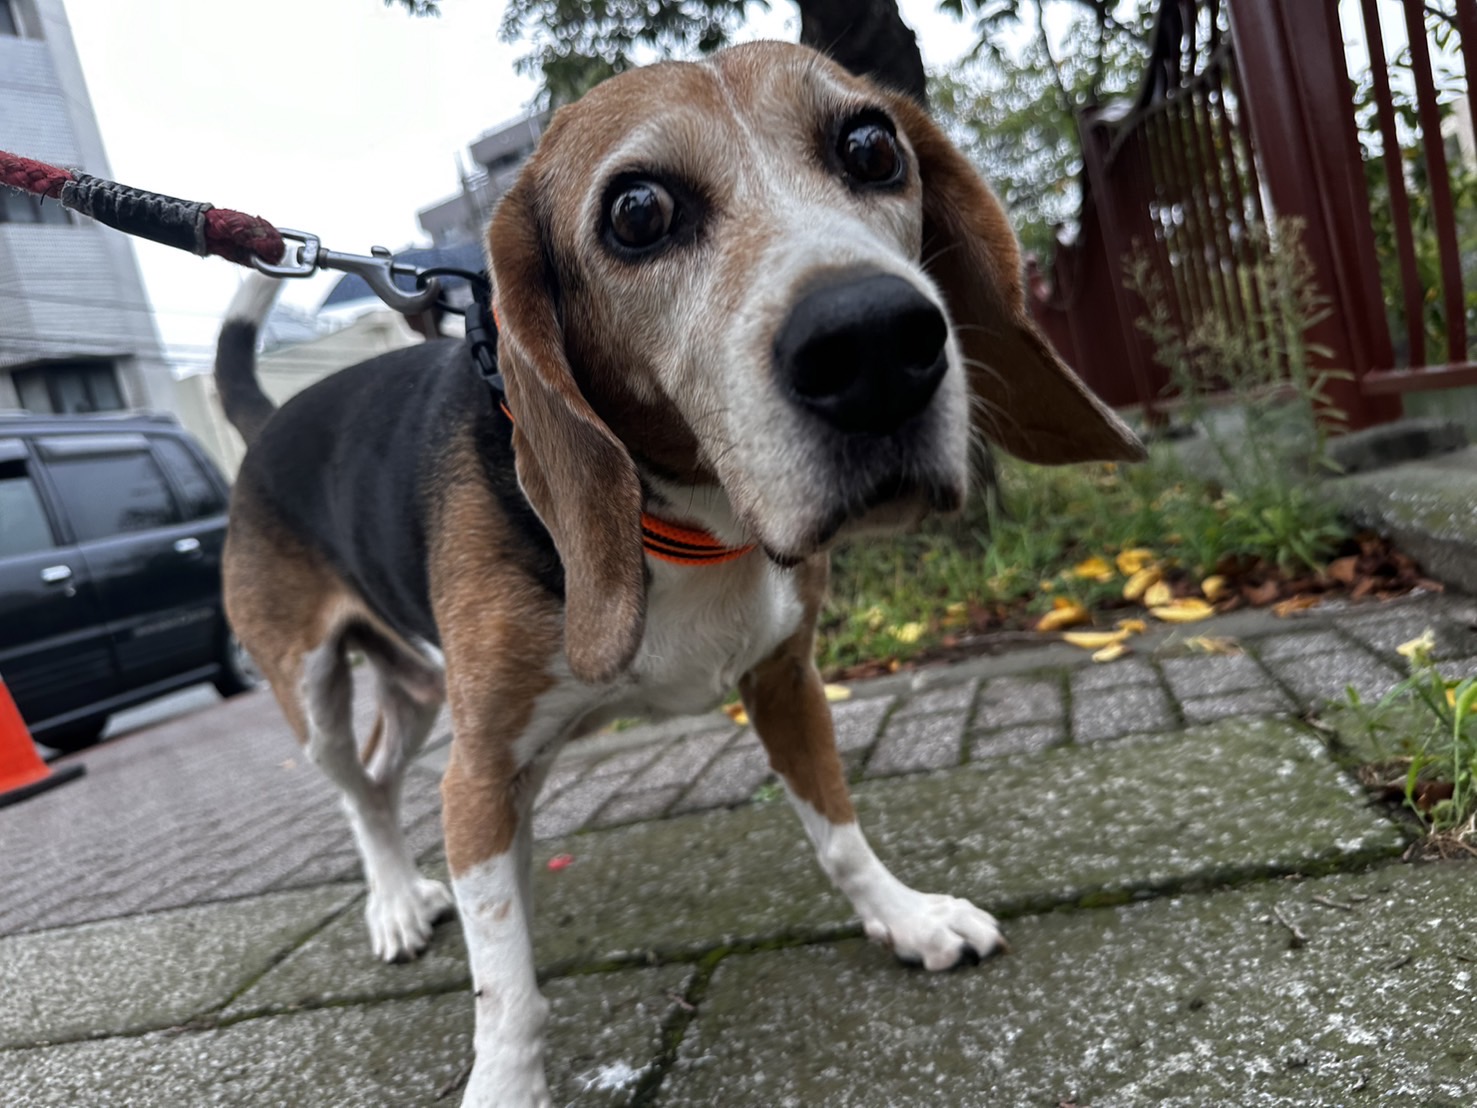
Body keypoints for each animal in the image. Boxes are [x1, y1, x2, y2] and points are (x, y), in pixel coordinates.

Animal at [214, 39, 1146, 1105]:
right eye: (638, 212)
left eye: (872, 148)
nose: (875, 344)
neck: (681, 525)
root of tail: (266, 421)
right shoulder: (481, 769)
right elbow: (506, 986)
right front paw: (506, 1080)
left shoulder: (786, 678)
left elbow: (838, 829)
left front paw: (904, 916)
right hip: (310, 683)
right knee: (353, 785)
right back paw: (395, 903)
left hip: (414, 686)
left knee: (378, 772)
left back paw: (410, 892)